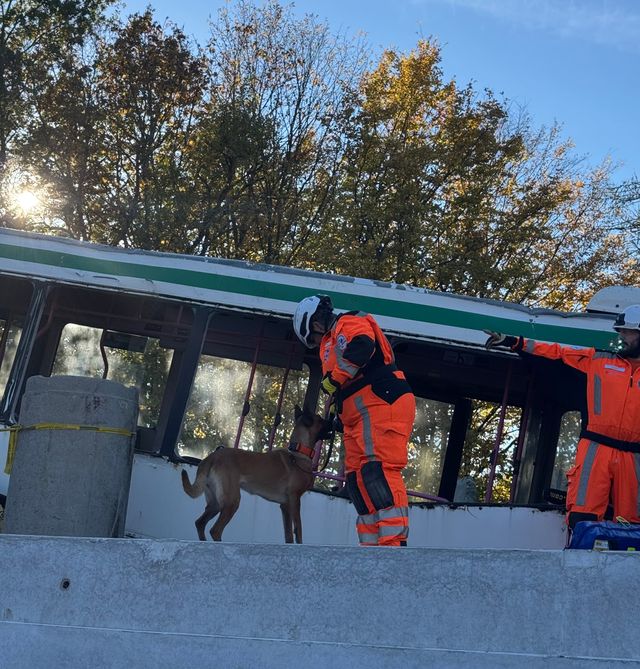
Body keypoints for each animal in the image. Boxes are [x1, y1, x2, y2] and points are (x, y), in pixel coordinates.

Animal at [180, 402, 330, 544]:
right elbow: (298, 530)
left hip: (215, 504)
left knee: (200, 523)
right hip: (232, 501)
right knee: (215, 530)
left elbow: (288, 536)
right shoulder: (295, 500)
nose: (333, 420)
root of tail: (211, 457)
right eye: (321, 419)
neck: (298, 453)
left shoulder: (285, 506)